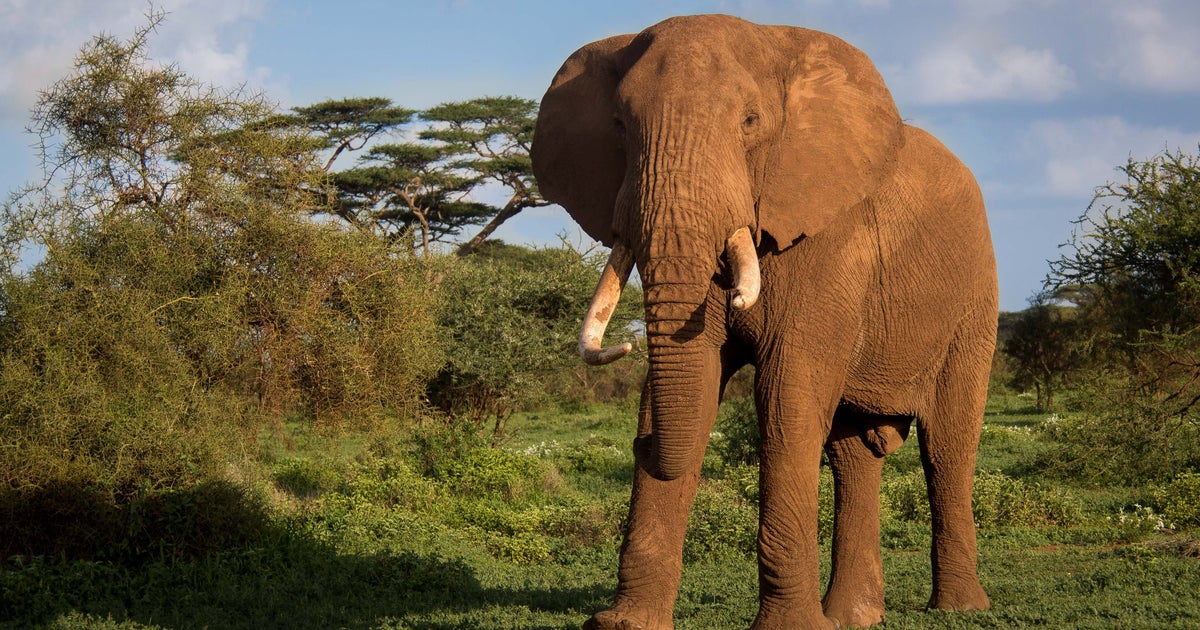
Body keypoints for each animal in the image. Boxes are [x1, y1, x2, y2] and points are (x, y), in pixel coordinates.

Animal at [531, 14, 997, 630]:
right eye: (619, 126)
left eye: (750, 122)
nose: (641, 448)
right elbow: (694, 387)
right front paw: (623, 625)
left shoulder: (828, 236)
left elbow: (786, 404)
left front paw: (791, 628)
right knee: (853, 454)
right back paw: (852, 617)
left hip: (973, 299)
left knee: (947, 444)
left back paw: (958, 607)